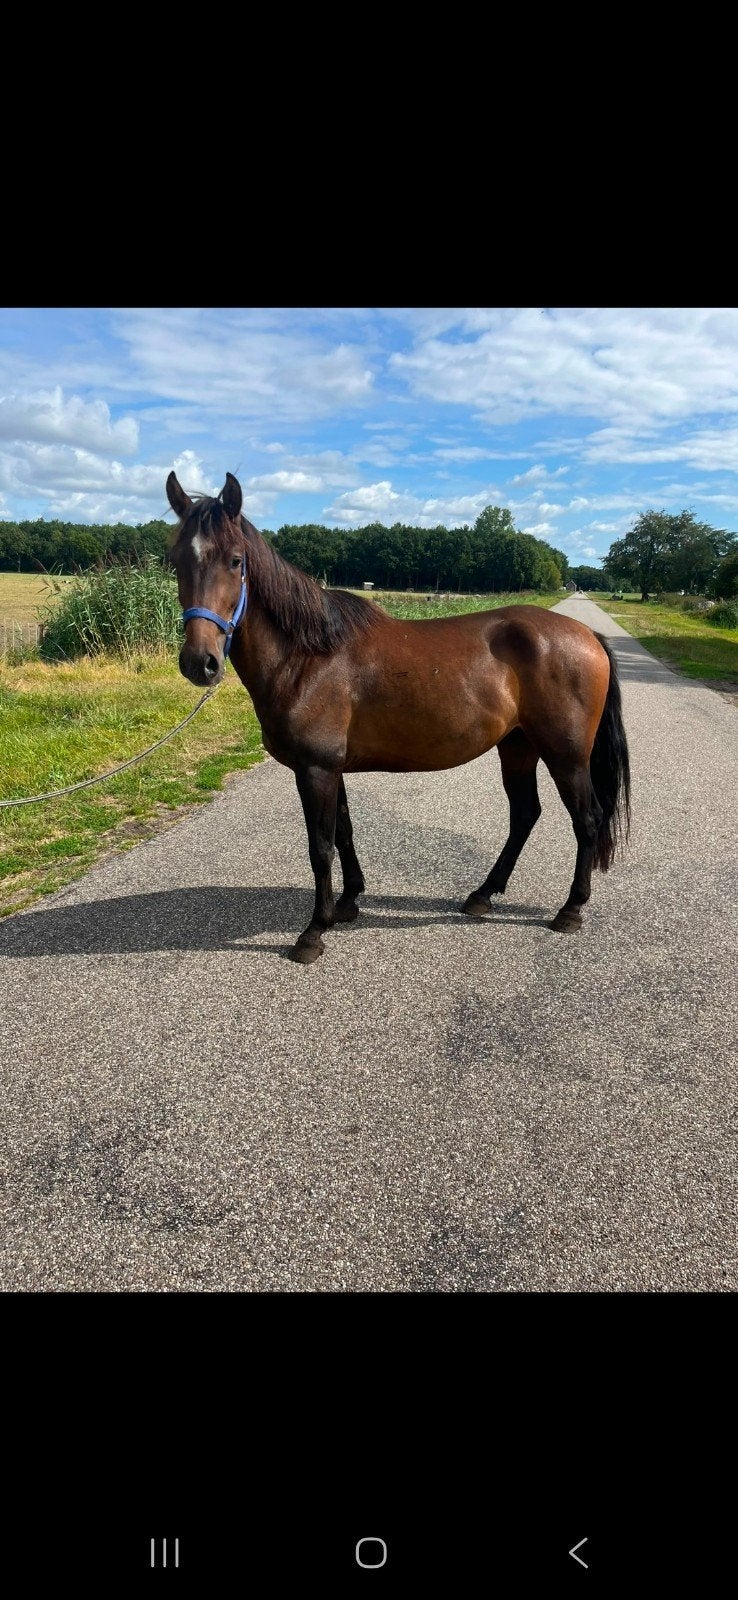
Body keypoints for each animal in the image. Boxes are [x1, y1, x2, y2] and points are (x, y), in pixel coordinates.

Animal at [167, 471, 631, 965]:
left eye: (236, 560)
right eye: (175, 562)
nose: (200, 662)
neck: (309, 657)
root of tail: (588, 635)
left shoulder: (315, 769)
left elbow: (320, 847)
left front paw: (313, 932)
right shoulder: (331, 768)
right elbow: (344, 834)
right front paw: (348, 903)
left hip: (566, 755)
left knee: (587, 820)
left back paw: (570, 910)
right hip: (518, 747)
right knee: (525, 814)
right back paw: (483, 895)